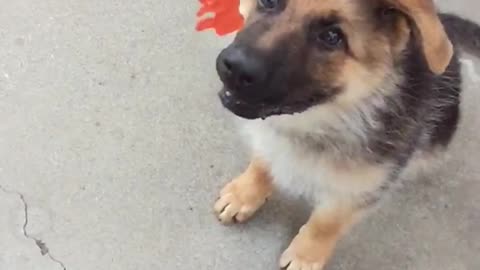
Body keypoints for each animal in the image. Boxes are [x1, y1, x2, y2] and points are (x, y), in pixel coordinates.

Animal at [214, 0, 480, 268]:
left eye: (332, 37)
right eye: (269, 2)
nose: (235, 69)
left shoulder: (360, 189)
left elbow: (327, 223)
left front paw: (306, 255)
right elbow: (262, 162)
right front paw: (244, 193)